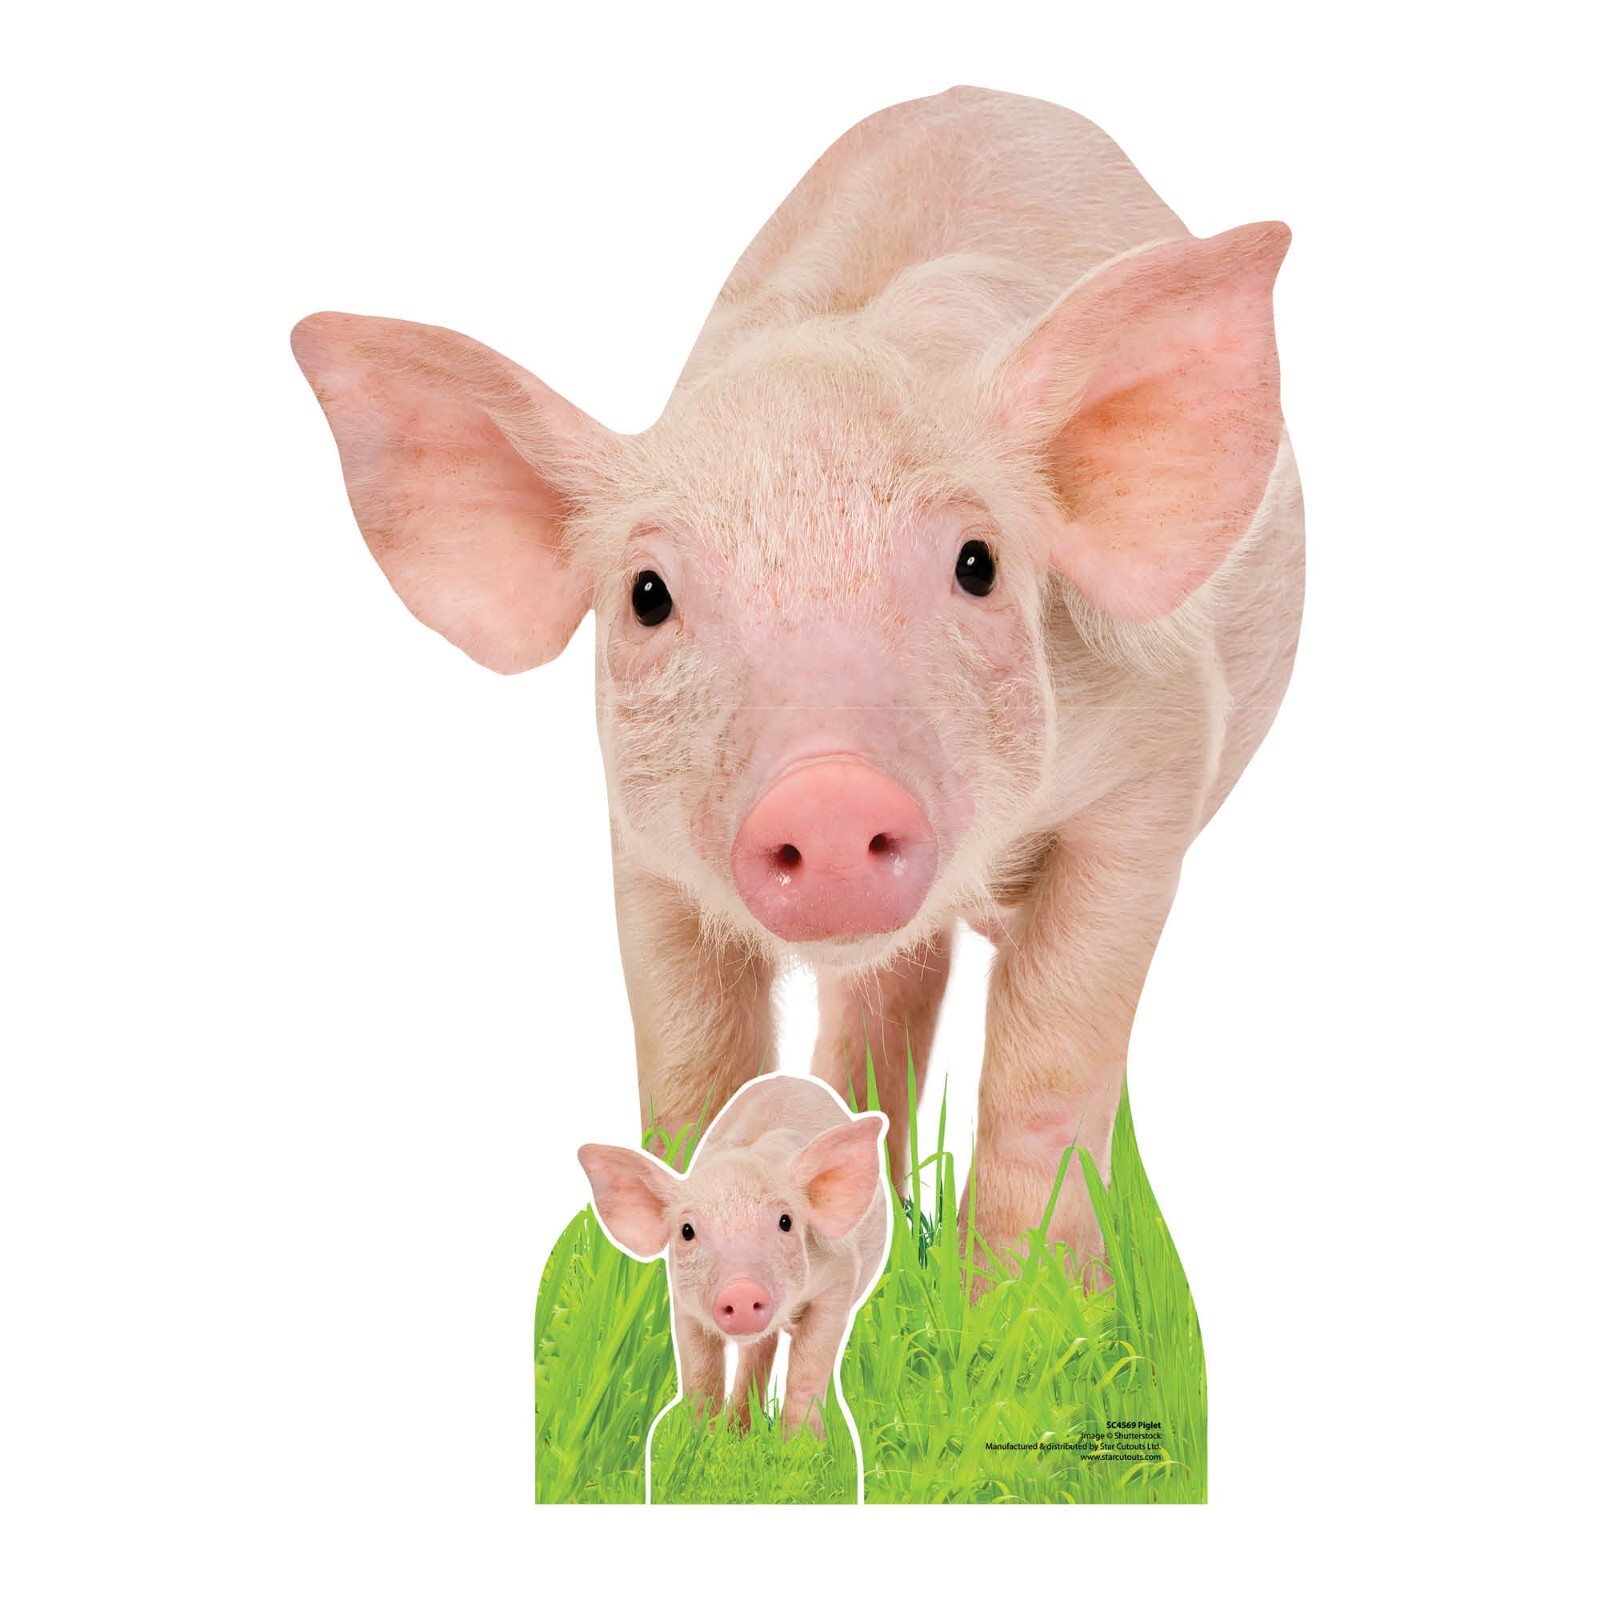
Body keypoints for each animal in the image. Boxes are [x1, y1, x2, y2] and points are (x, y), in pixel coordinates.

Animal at [291, 85, 1302, 1280]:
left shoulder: (1156, 761)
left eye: (977, 564)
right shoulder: (638, 837)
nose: (827, 792)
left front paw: (1026, 1296)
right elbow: (689, 1062)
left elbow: (1051, 1059)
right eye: (647, 594)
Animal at [578, 1075, 889, 1437]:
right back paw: (739, 1432)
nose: (741, 1291)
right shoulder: (683, 1303)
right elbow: (701, 1376)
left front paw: (801, 1446)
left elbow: (807, 1371)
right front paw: (699, 1440)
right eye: (687, 1230)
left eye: (786, 1222)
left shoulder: (838, 1280)